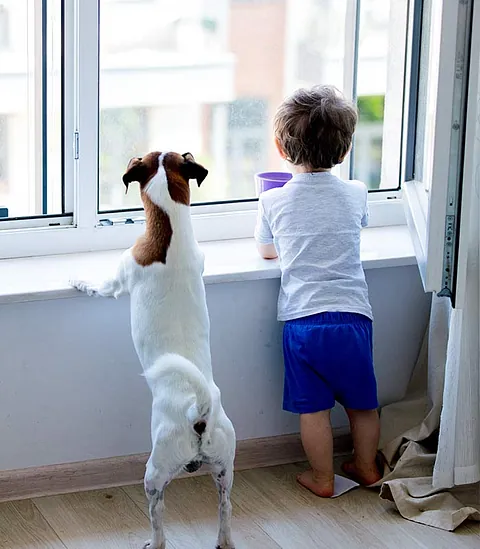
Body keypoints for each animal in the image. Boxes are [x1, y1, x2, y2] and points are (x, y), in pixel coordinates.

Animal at [70, 151, 235, 548]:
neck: (170, 230)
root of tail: (199, 414)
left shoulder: (118, 278)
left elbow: (98, 285)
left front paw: (78, 280)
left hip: (155, 473)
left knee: (158, 518)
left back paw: (153, 540)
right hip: (225, 469)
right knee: (226, 509)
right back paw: (224, 539)